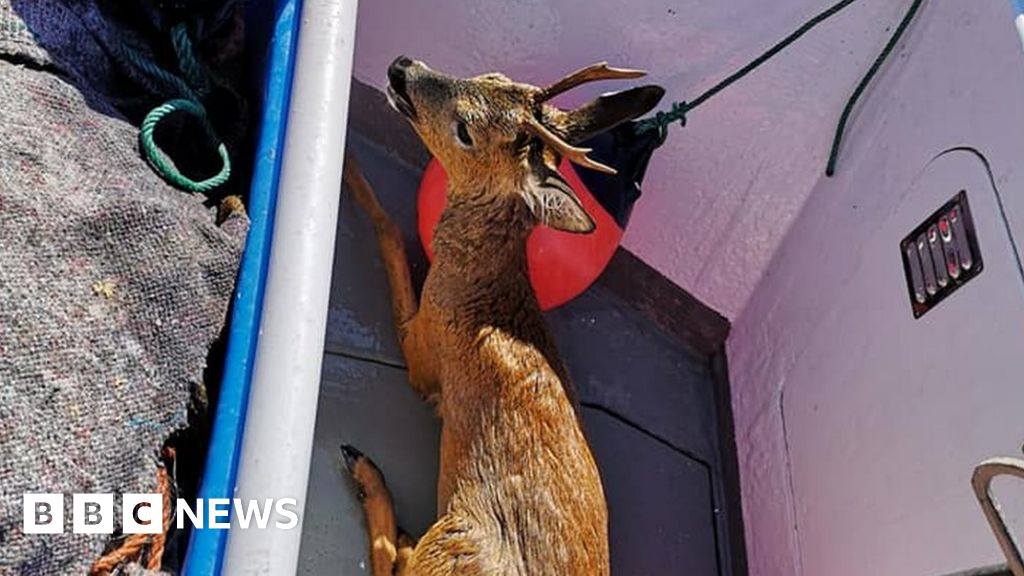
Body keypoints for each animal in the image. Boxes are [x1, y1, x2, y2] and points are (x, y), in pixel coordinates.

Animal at [340, 55, 664, 576]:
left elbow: (390, 234)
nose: (401, 68)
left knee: (389, 561)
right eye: (492, 77)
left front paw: (351, 169)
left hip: (456, 537)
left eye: (465, 130)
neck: (484, 290)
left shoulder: (424, 349)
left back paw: (368, 476)